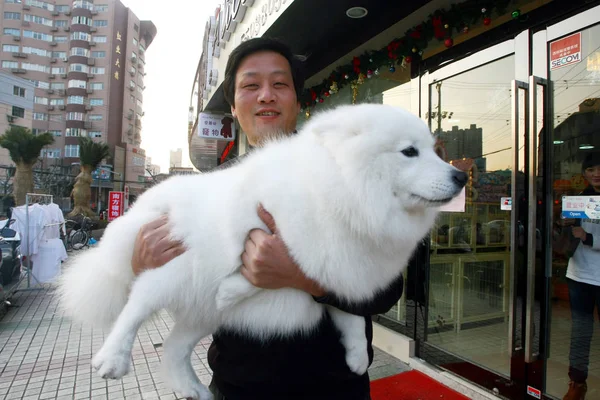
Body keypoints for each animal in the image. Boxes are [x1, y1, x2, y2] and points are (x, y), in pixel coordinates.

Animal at [58, 104, 466, 400]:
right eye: (409, 152)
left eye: (433, 151)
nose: (461, 176)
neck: (341, 194)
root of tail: (144, 204)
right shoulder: (268, 233)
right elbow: (251, 270)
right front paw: (233, 288)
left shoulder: (342, 270)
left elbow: (348, 316)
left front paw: (357, 358)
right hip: (172, 272)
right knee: (134, 308)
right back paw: (112, 359)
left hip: (199, 313)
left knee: (173, 348)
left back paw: (194, 390)